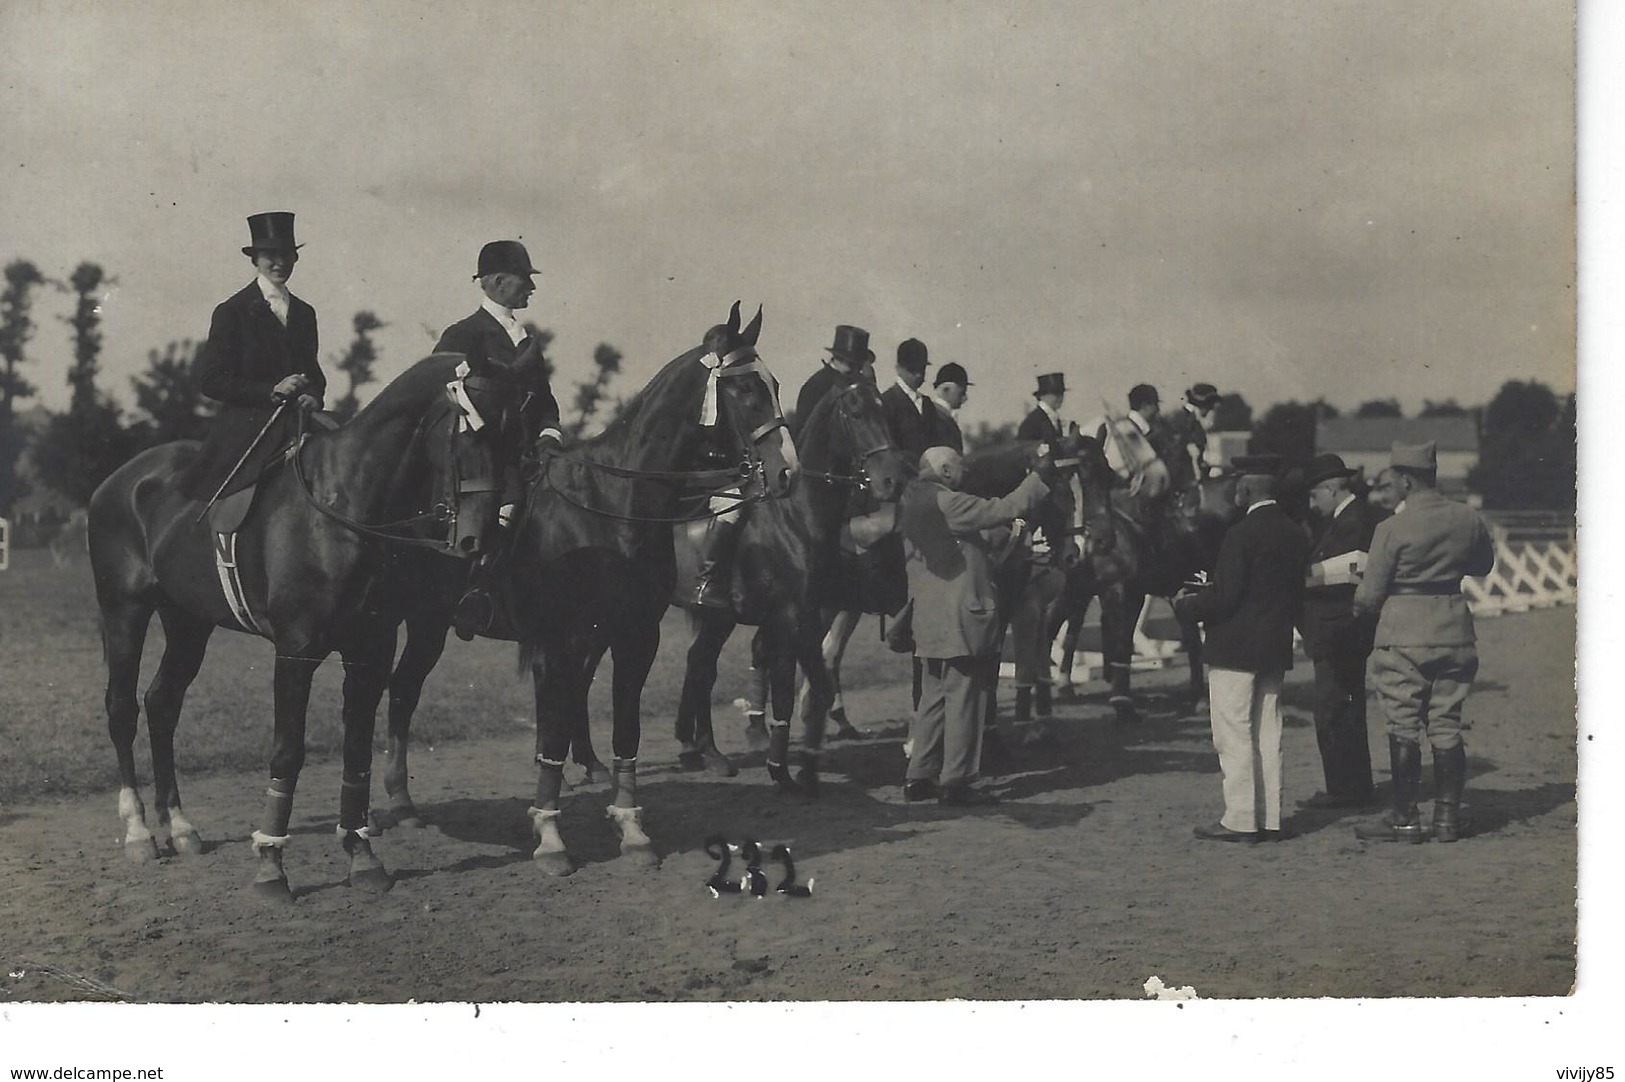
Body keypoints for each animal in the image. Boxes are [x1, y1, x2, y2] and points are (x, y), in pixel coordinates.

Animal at [85, 349, 533, 896]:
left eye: (517, 438)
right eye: (470, 431)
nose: (481, 542)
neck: (343, 510)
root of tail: (119, 480)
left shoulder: (370, 651)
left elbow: (357, 752)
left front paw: (362, 855)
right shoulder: (296, 652)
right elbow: (287, 753)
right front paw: (270, 866)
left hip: (188, 623)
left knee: (162, 704)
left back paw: (181, 827)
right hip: (124, 610)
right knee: (122, 708)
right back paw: (138, 832)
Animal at [373, 298, 793, 870]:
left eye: (774, 383)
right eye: (746, 389)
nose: (784, 473)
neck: (610, 507)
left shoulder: (635, 637)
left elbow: (626, 729)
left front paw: (632, 829)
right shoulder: (563, 641)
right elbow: (553, 729)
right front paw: (551, 838)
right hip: (419, 622)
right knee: (400, 692)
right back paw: (398, 800)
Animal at [659, 376, 916, 792]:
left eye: (885, 412)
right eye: (856, 412)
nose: (891, 481)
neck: (796, 517)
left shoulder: (808, 617)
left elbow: (818, 687)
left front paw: (806, 765)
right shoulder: (790, 620)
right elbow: (785, 691)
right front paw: (781, 769)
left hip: (717, 617)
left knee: (700, 665)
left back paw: (701, 751)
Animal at [1046, 435, 1235, 721]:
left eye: (1105, 475)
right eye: (1058, 482)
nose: (1102, 537)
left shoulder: (1131, 591)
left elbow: (1125, 638)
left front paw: (1122, 700)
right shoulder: (1088, 590)